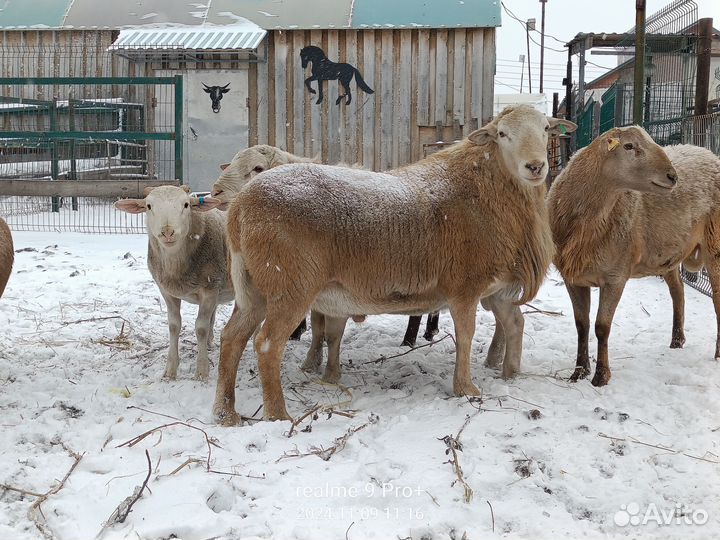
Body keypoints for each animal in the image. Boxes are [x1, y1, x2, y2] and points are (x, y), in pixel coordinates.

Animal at [114, 186, 233, 380]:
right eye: (148, 206)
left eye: (186, 204)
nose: (168, 232)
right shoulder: (167, 291)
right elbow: (174, 326)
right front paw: (170, 370)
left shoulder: (210, 289)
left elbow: (200, 327)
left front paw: (201, 371)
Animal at [211, 105, 576, 424]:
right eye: (502, 134)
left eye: (546, 129)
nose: (535, 167)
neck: (486, 187)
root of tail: (240, 207)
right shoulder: (465, 286)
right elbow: (467, 334)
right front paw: (466, 388)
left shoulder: (496, 287)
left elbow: (515, 324)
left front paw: (511, 375)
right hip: (290, 284)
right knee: (267, 344)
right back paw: (278, 415)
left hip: (254, 287)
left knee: (231, 339)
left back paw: (225, 412)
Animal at [544, 125, 720, 388]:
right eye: (628, 146)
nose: (673, 176)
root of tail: (706, 151)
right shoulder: (572, 277)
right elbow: (581, 324)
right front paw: (578, 372)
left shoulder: (615, 276)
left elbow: (601, 327)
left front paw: (600, 376)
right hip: (668, 254)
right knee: (678, 291)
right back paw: (677, 340)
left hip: (714, 244)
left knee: (717, 300)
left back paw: (717, 353)